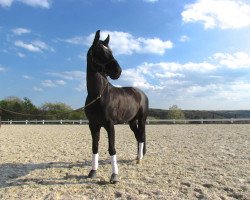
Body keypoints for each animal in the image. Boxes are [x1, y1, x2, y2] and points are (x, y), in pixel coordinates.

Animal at [85, 30, 148, 184]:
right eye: (99, 51)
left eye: (111, 51)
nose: (117, 71)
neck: (98, 95)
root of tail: (141, 93)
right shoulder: (93, 125)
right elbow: (94, 147)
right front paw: (93, 172)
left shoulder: (110, 125)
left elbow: (112, 148)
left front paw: (114, 176)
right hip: (132, 122)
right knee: (138, 136)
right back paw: (137, 157)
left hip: (142, 120)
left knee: (141, 137)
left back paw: (139, 159)